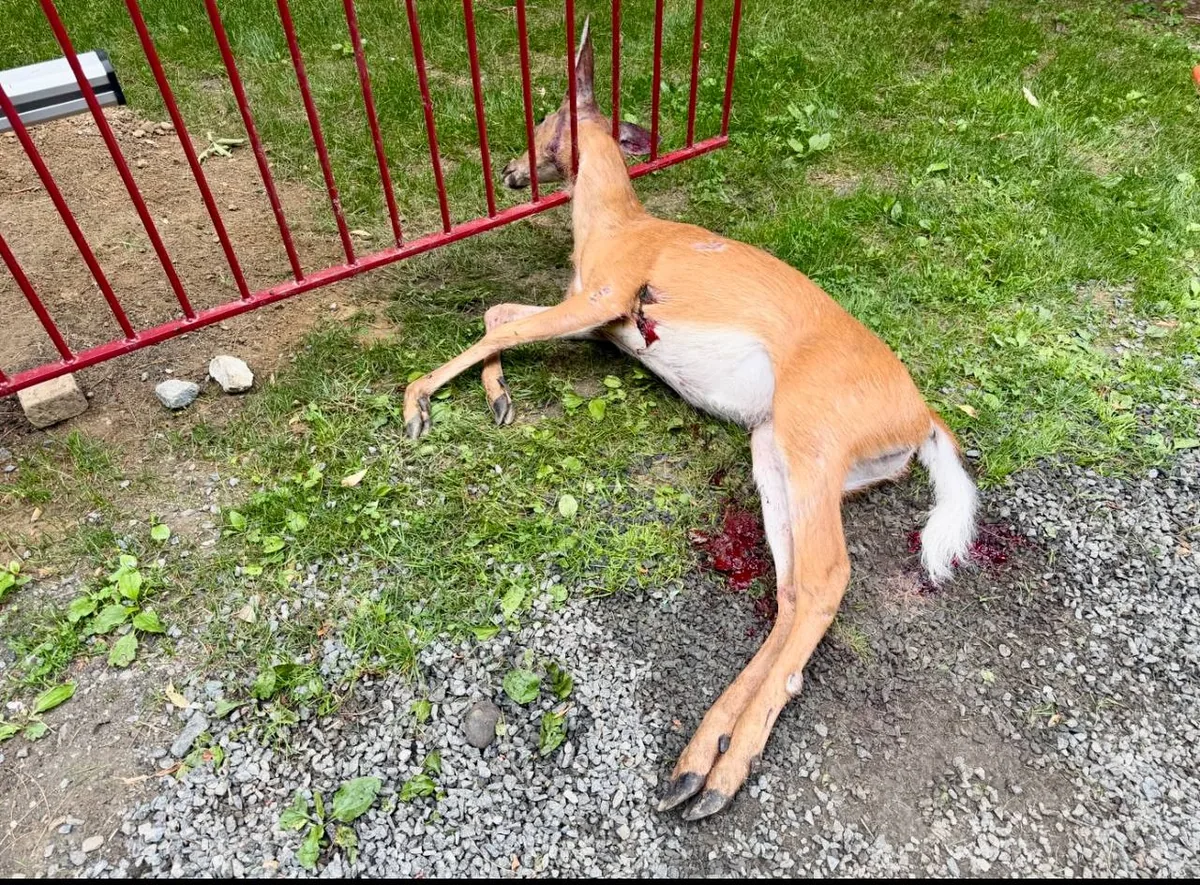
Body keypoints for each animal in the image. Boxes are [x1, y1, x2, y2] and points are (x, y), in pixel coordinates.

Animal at [402, 20, 978, 821]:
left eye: (543, 113)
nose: (514, 170)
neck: (612, 228)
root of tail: (923, 419)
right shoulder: (598, 319)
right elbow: (500, 317)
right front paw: (496, 396)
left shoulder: (603, 297)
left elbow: (496, 325)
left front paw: (416, 400)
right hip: (773, 450)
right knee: (791, 592)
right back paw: (695, 763)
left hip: (814, 434)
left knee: (828, 578)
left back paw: (723, 775)